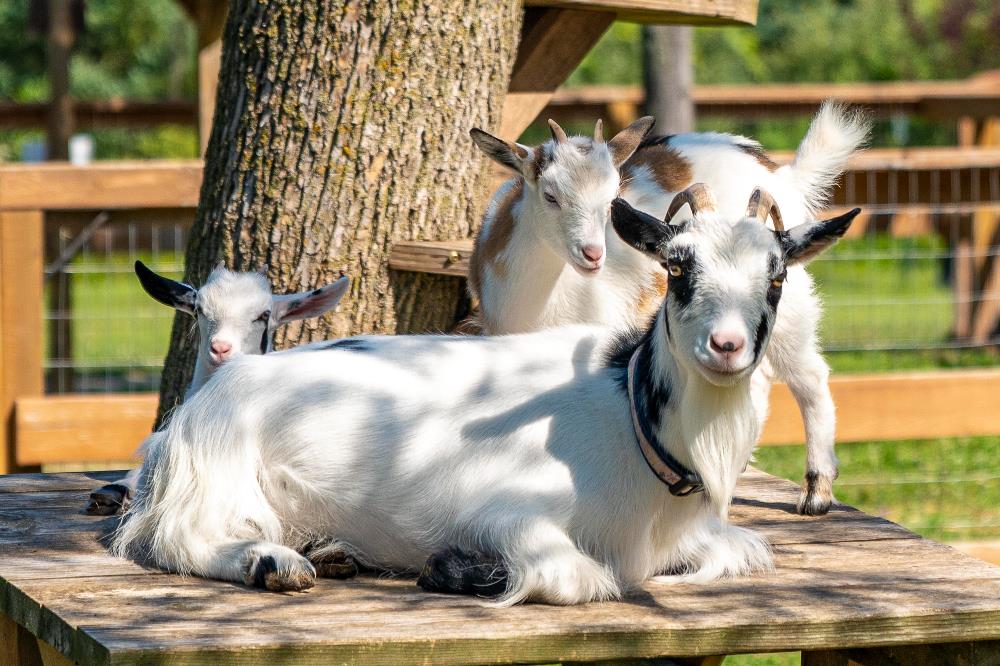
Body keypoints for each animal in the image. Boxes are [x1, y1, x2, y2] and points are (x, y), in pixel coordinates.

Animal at [468, 102, 869, 516]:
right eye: (550, 196)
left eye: (612, 199)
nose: (594, 254)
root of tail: (782, 173)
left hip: (786, 308)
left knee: (809, 376)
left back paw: (817, 491)